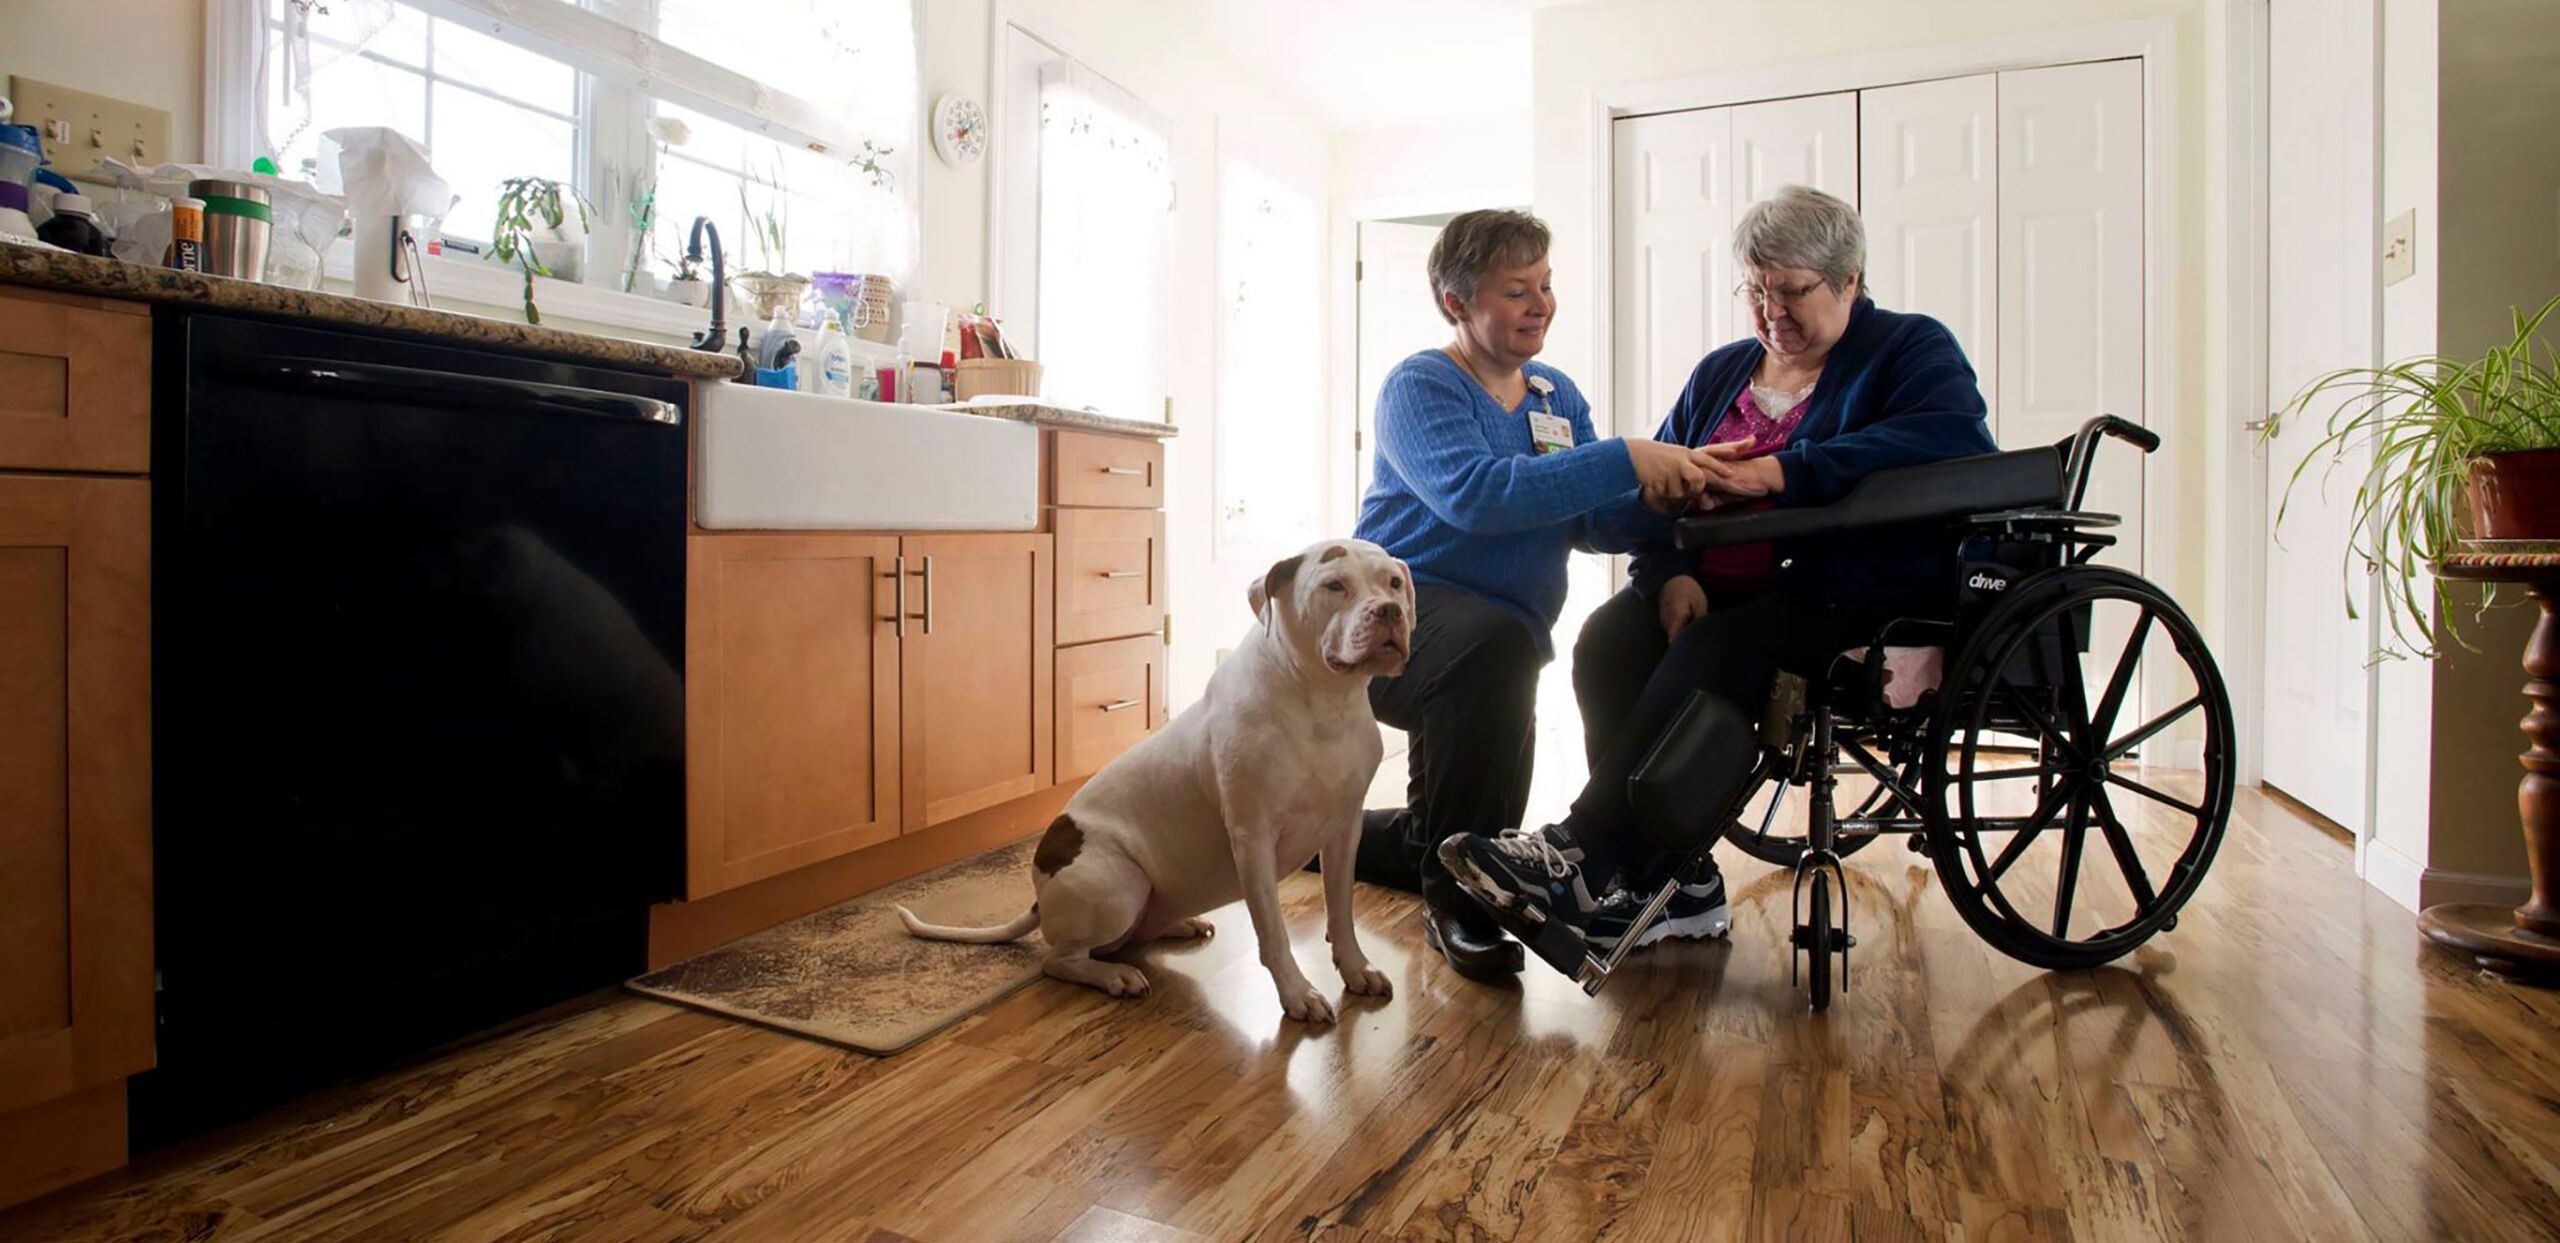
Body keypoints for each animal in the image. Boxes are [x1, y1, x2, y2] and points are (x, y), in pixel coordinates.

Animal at [901, 539, 1423, 1023]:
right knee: (1059, 960)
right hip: (1121, 884)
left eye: (1394, 583)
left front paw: (1355, 969)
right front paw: (1298, 994)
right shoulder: (1252, 838)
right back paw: (1115, 976)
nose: (1389, 610)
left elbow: (1341, 910)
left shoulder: (1344, 829)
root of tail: (1040, 890)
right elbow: (1273, 930)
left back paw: (1178, 924)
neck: (1323, 700)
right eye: (1334, 586)